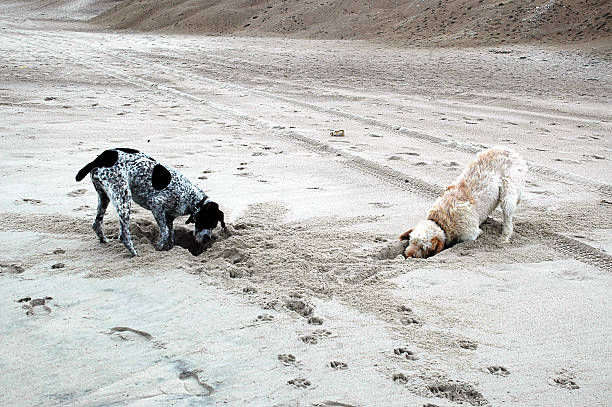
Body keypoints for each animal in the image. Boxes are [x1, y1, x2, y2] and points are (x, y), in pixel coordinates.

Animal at [76, 148, 225, 256]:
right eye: (208, 221)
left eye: (214, 225)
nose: (207, 239)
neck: (190, 196)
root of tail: (101, 158)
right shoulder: (156, 205)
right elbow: (165, 232)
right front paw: (158, 248)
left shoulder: (169, 217)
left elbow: (171, 235)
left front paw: (170, 248)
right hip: (124, 198)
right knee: (124, 235)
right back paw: (135, 254)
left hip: (104, 197)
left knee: (97, 223)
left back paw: (104, 240)